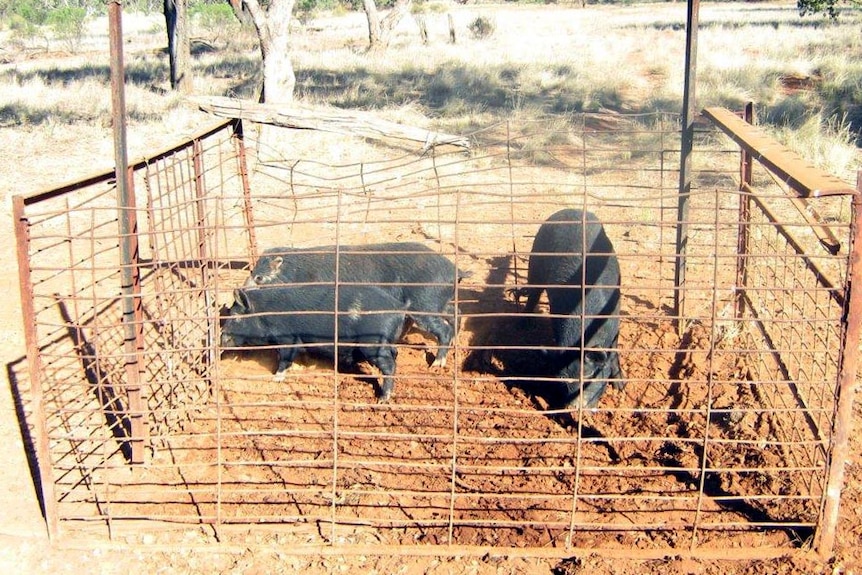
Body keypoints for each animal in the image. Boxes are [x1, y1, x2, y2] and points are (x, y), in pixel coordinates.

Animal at [223, 286, 412, 402]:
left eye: (235, 316)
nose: (222, 338)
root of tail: (399, 307)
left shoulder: (288, 338)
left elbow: (284, 357)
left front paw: (275, 378)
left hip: (373, 342)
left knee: (389, 365)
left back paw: (382, 399)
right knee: (395, 353)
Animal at [246, 242, 470, 368]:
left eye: (259, 278)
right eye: (251, 271)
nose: (242, 289)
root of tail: (455, 270)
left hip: (425, 302)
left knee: (443, 329)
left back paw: (437, 365)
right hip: (439, 301)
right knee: (456, 312)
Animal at [516, 207, 624, 410]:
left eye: (589, 377)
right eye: (562, 380)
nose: (573, 406)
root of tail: (571, 210)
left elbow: (614, 352)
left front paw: (621, 386)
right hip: (535, 262)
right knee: (533, 295)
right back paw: (524, 324)